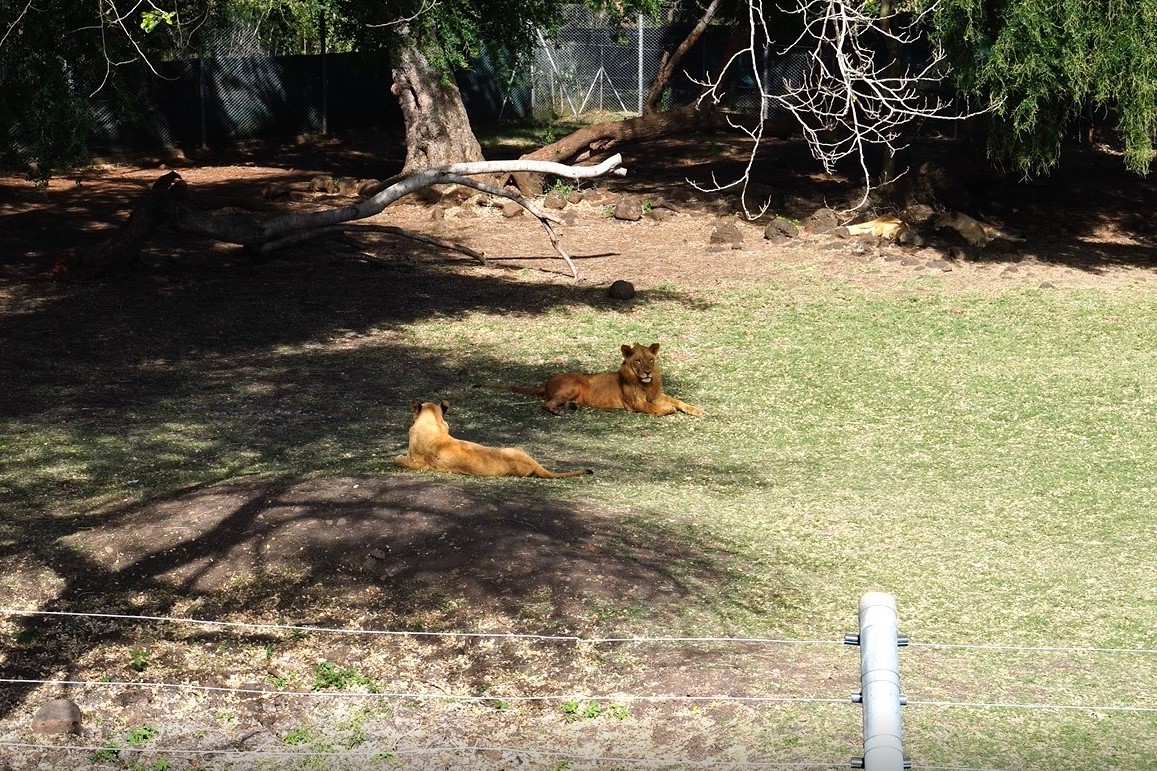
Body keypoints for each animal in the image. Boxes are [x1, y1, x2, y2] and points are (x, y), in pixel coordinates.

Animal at [490, 340, 698, 414]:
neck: (646, 384)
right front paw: (667, 409)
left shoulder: (657, 395)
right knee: (546, 403)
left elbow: (678, 400)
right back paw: (556, 411)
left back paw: (572, 406)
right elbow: (654, 408)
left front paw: (695, 409)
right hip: (572, 386)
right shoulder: (635, 403)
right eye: (638, 361)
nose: (647, 372)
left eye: (650, 360)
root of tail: (547, 380)